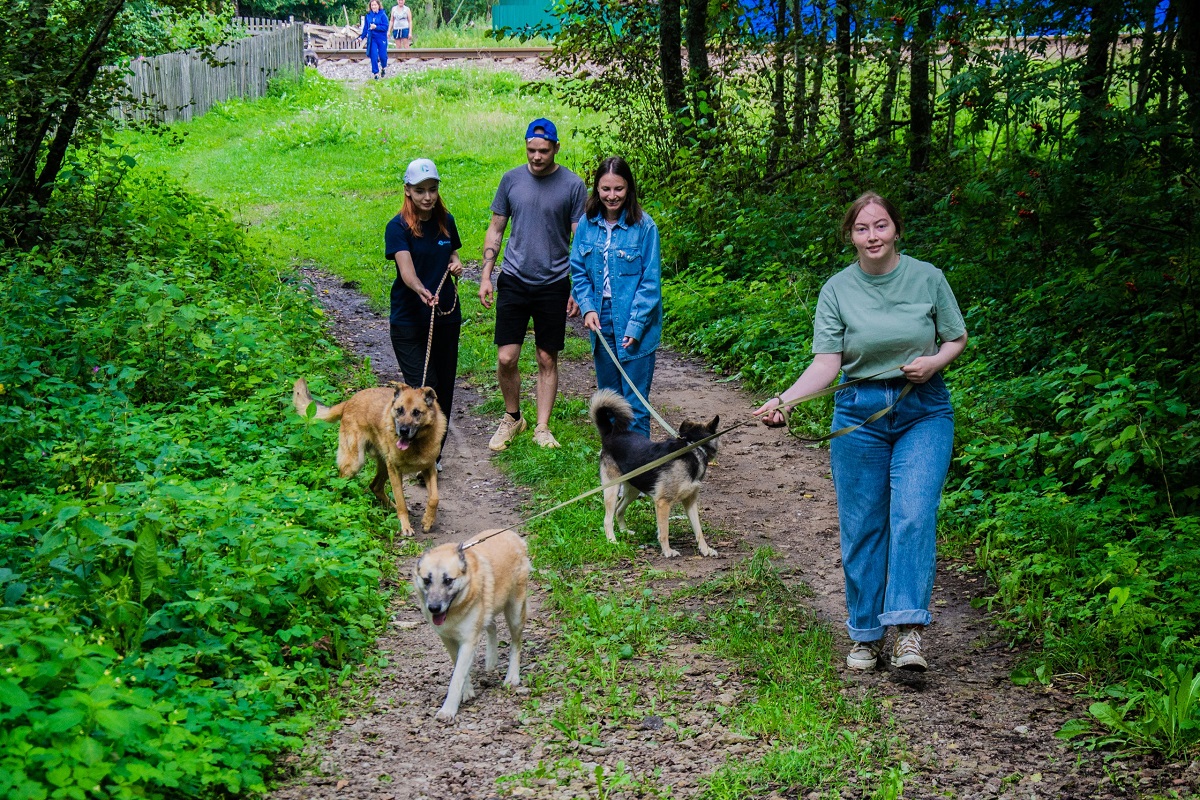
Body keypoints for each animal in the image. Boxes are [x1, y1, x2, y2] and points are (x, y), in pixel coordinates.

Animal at [292, 378, 446, 536]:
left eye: (416, 412)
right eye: (400, 410)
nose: (403, 431)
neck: (416, 444)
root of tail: (349, 401)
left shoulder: (429, 468)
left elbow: (434, 498)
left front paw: (427, 521)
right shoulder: (395, 471)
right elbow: (402, 502)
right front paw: (405, 526)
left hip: (384, 466)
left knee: (375, 487)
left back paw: (391, 507)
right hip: (356, 463)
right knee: (339, 484)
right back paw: (337, 507)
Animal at [412, 530, 530, 722]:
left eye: (448, 580)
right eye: (427, 580)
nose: (434, 608)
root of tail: (512, 534)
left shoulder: (468, 641)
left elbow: (457, 676)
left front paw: (448, 710)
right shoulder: (448, 640)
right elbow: (459, 668)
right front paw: (467, 691)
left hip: (515, 612)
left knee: (516, 643)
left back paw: (512, 676)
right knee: (492, 625)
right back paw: (491, 661)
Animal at [589, 389, 721, 558]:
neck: (693, 447)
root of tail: (610, 435)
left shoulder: (690, 502)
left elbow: (698, 530)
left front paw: (705, 549)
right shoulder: (663, 503)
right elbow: (664, 531)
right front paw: (667, 551)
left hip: (633, 490)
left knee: (619, 509)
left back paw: (624, 532)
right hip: (611, 489)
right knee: (607, 519)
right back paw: (612, 541)